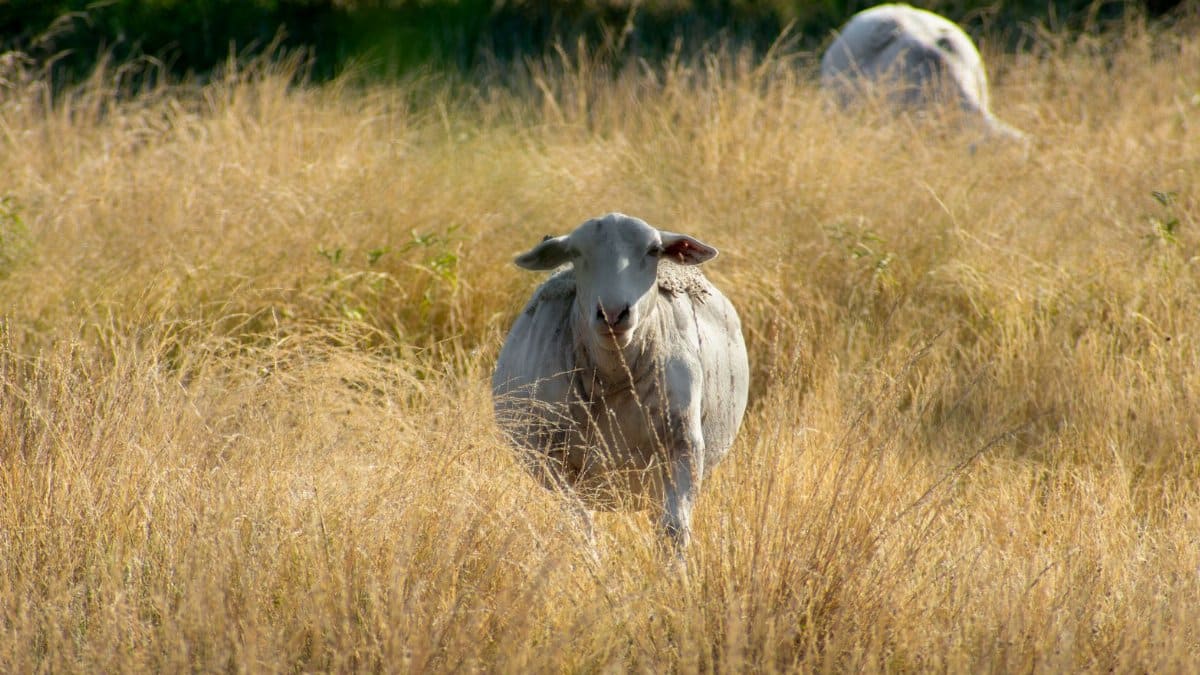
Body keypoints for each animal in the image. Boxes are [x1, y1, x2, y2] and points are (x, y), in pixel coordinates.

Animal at [492, 213, 750, 557]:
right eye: (576, 253)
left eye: (654, 250)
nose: (613, 313)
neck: (614, 376)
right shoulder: (549, 458)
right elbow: (580, 523)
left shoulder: (684, 445)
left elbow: (674, 530)